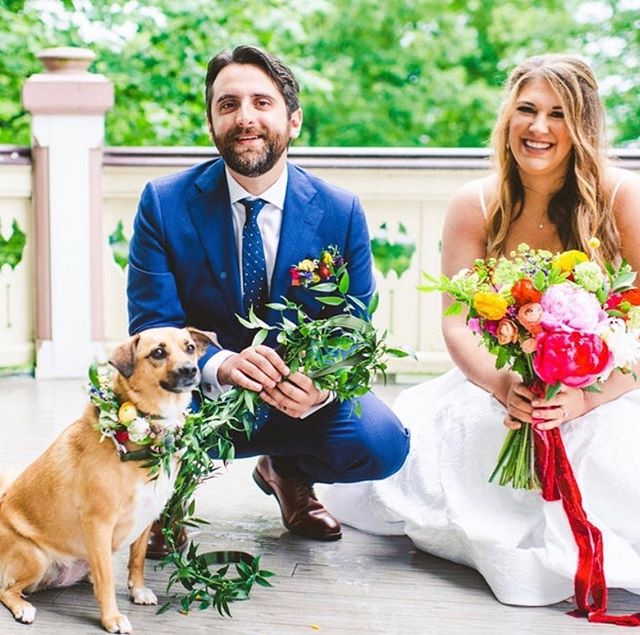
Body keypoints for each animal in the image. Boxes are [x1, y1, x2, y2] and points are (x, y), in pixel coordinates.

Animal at [0, 328, 214, 635]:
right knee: (7, 590)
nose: (190, 369)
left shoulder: (146, 517)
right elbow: (108, 580)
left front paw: (138, 590)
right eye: (158, 352)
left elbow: (136, 560)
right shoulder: (98, 523)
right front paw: (112, 618)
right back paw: (23, 608)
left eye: (190, 348)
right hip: (35, 556)